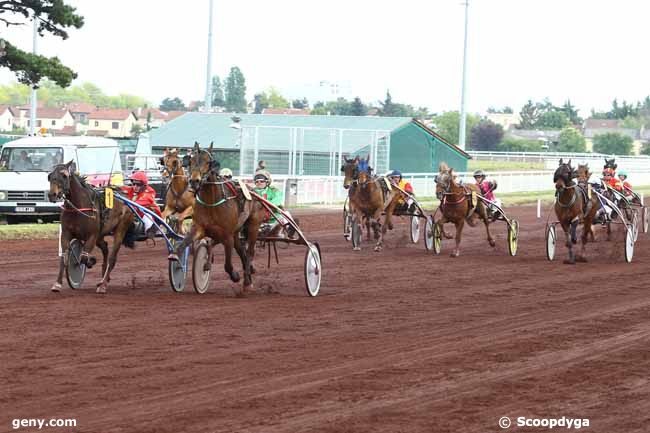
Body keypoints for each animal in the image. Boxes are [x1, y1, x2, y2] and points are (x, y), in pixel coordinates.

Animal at [48, 160, 135, 292]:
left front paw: (90, 261)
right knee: (105, 248)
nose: (52, 194)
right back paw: (104, 279)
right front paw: (57, 284)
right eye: (50, 176)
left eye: (64, 175)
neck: (78, 208)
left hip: (120, 229)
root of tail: (126, 198)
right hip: (100, 235)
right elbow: (64, 257)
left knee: (112, 258)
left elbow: (83, 257)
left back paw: (103, 285)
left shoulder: (92, 236)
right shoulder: (66, 234)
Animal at [171, 142, 268, 294]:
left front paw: (235, 276)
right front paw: (176, 256)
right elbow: (183, 243)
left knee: (249, 252)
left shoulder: (227, 235)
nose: (194, 181)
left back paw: (247, 281)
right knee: (241, 251)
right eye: (191, 161)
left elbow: (227, 265)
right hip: (236, 231)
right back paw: (249, 276)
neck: (211, 202)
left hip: (253, 226)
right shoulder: (199, 228)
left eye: (208, 162)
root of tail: (253, 191)